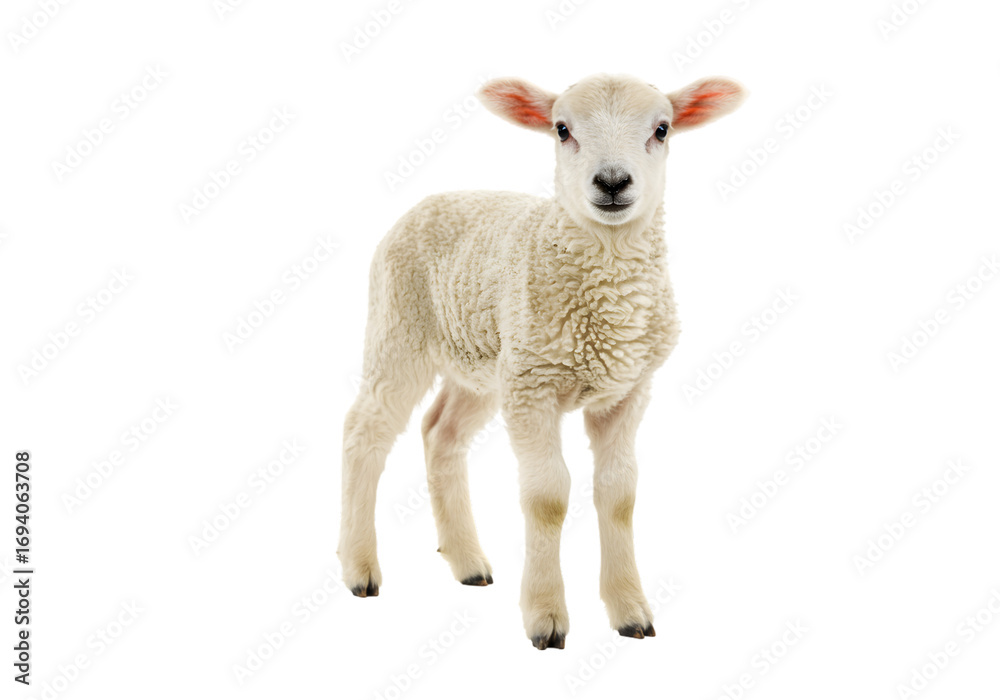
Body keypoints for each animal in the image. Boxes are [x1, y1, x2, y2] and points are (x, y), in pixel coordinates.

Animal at [338, 73, 747, 649]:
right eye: (562, 129)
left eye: (662, 129)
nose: (613, 181)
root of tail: (435, 197)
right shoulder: (534, 387)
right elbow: (547, 496)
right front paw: (546, 616)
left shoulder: (626, 390)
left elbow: (619, 494)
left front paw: (630, 611)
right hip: (401, 328)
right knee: (365, 431)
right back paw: (359, 569)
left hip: (485, 363)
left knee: (441, 431)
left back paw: (467, 562)